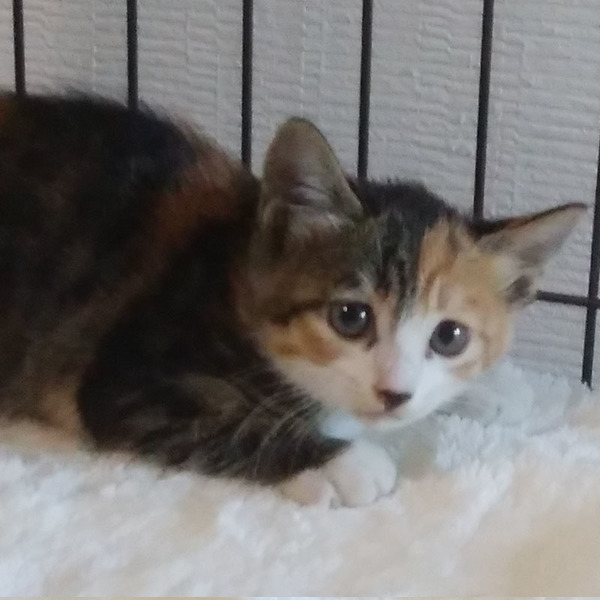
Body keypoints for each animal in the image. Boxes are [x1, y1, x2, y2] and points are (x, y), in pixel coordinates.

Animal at [0, 92, 584, 507]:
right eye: (350, 317)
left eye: (450, 336)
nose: (394, 394)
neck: (234, 273)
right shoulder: (126, 379)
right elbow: (228, 422)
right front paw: (343, 464)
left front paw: (489, 390)